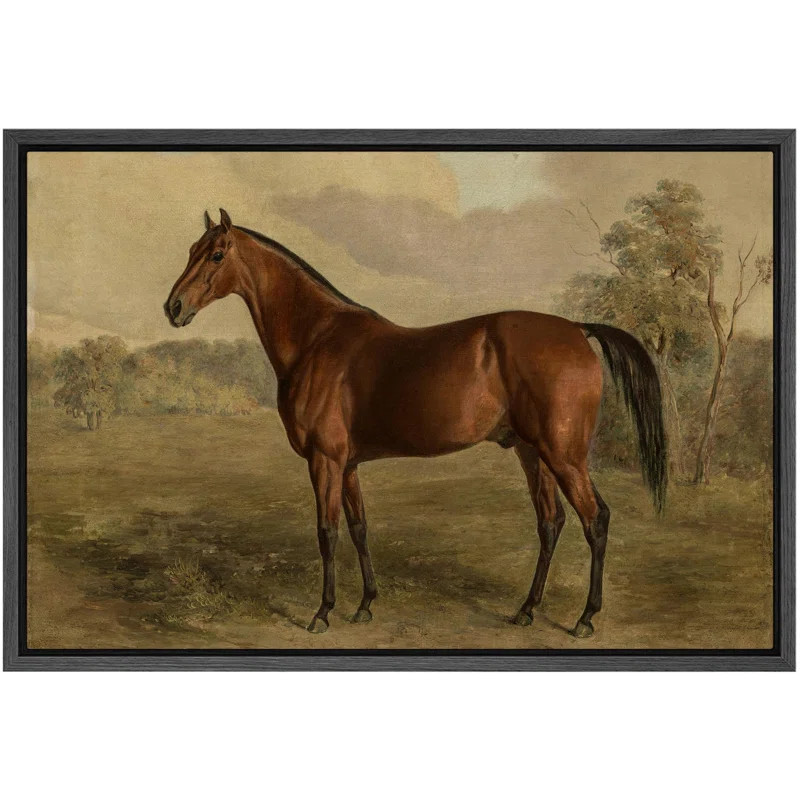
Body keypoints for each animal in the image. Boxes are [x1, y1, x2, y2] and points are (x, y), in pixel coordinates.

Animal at [165, 209, 667, 637]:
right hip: (534, 453)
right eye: (190, 249)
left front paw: (322, 613)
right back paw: (526, 610)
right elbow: (359, 528)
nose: (173, 307)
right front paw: (365, 605)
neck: (317, 339)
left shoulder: (324, 461)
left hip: (564, 455)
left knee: (595, 519)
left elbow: (327, 533)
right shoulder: (348, 465)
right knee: (551, 522)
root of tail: (577, 330)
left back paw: (585, 618)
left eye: (216, 254)